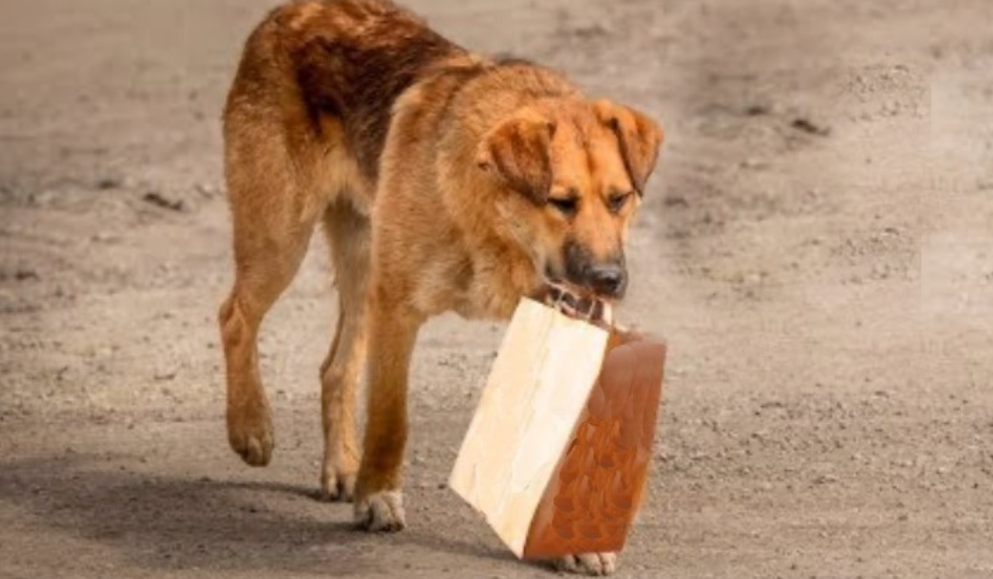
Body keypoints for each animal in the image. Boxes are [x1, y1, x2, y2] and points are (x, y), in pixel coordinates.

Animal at [221, 0, 664, 576]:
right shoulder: (398, 307)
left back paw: (341, 466)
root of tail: (292, 11)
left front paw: (577, 539)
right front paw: (378, 497)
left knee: (335, 368)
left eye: (619, 199)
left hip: (361, 265)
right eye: (561, 202)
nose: (610, 281)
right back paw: (251, 428)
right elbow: (392, 419)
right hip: (282, 239)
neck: (495, 223)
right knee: (235, 316)